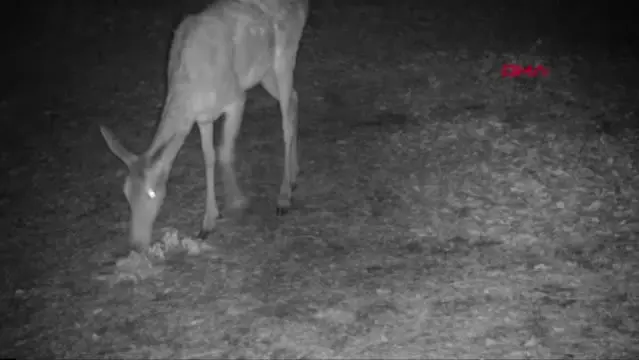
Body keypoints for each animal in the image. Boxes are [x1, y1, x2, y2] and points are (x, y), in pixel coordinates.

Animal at [99, 0, 312, 252]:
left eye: (152, 193)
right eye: (125, 192)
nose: (136, 244)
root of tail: (303, 6)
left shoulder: (236, 98)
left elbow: (225, 152)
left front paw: (237, 201)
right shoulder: (203, 117)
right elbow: (208, 158)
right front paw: (208, 222)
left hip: (285, 58)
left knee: (286, 120)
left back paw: (284, 197)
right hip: (264, 72)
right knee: (294, 99)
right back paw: (295, 174)